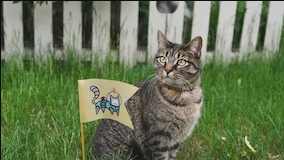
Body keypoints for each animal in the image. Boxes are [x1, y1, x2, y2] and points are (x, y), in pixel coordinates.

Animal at [92, 30, 203, 160]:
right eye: (163, 59)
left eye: (181, 62)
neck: (183, 95)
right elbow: (162, 157)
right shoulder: (158, 137)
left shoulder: (175, 140)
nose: (167, 70)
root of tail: (94, 152)